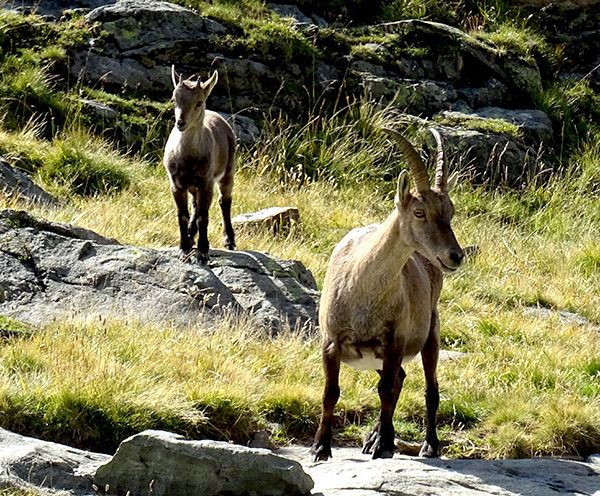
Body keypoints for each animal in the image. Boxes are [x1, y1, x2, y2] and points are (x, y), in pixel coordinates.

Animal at [164, 66, 236, 264]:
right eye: (174, 99)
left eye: (198, 102)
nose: (180, 123)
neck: (188, 157)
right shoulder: (176, 183)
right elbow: (182, 214)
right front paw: (184, 248)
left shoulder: (206, 182)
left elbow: (204, 216)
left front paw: (203, 252)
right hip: (193, 186)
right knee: (195, 204)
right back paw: (190, 234)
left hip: (228, 170)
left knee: (224, 201)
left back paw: (229, 240)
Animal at [311, 128, 464, 461]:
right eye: (419, 212)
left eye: (450, 211)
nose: (455, 256)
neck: (362, 292)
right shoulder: (331, 341)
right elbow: (331, 392)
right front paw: (320, 447)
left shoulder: (394, 342)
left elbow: (385, 390)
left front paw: (384, 445)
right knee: (399, 380)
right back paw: (376, 437)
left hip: (430, 332)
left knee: (428, 388)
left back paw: (426, 445)